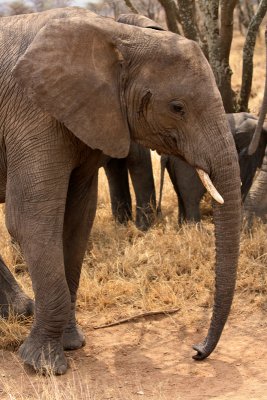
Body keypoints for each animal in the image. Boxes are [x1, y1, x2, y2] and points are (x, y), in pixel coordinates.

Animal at [0, 7, 243, 376]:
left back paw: (20, 311)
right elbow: (29, 219)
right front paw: (44, 366)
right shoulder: (32, 112)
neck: (118, 35)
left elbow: (77, 218)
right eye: (177, 107)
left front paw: (72, 344)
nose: (197, 350)